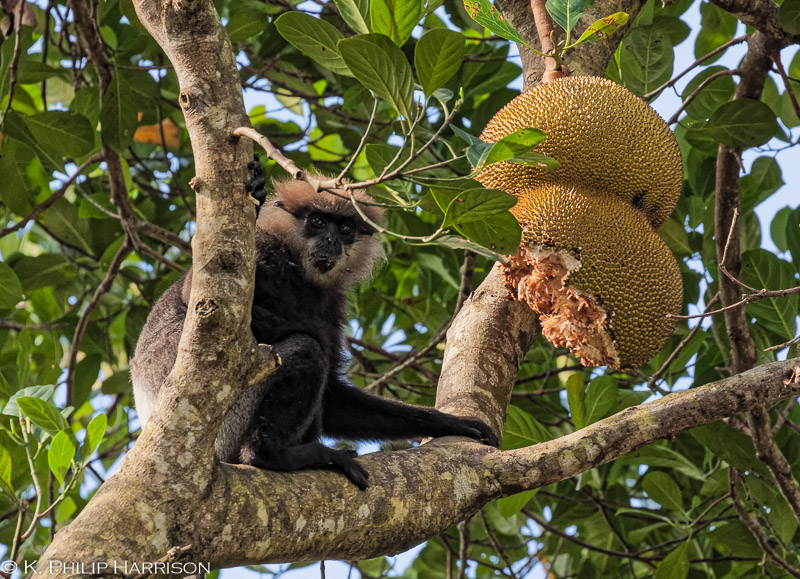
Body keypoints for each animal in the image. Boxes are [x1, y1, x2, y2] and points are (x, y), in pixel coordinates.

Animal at [130, 178, 499, 489]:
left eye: (345, 228)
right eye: (318, 222)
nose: (331, 240)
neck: (299, 272)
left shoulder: (332, 303)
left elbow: (334, 399)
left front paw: (449, 423)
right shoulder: (263, 250)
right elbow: (201, 301)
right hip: (229, 426)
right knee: (304, 349)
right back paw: (271, 455)